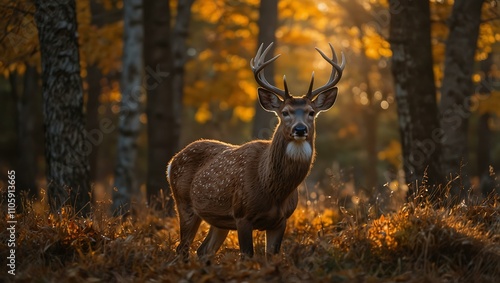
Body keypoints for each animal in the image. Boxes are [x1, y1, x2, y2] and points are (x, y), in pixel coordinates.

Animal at [167, 42, 344, 262]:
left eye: (311, 112)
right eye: (284, 112)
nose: (300, 129)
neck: (273, 188)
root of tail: (171, 162)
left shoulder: (281, 220)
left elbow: (272, 257)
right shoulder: (242, 214)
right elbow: (247, 256)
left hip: (219, 220)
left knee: (203, 250)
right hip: (184, 203)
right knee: (182, 249)